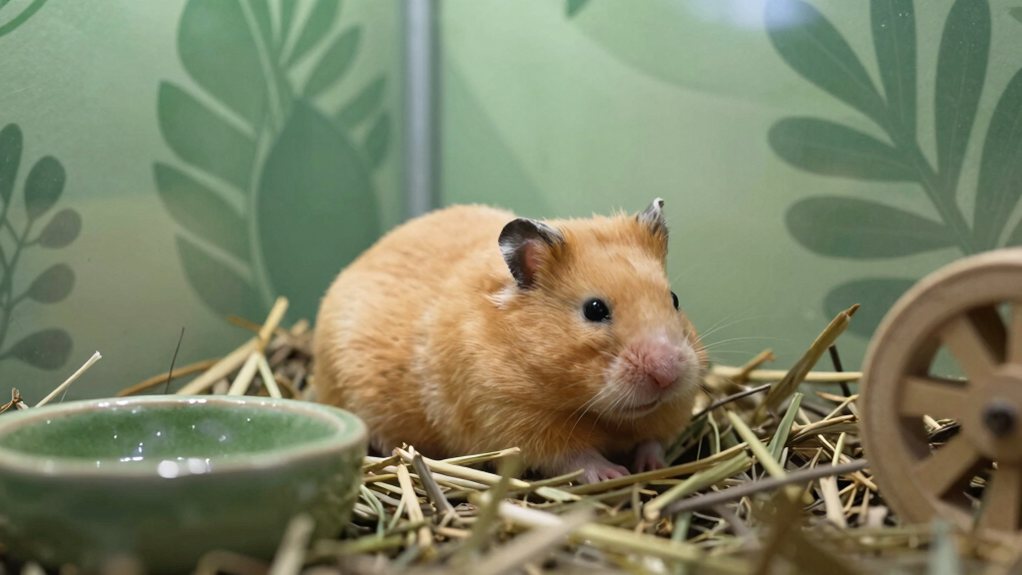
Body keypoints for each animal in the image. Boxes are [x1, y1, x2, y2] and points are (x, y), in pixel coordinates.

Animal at [313, 199, 706, 483]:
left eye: (674, 299)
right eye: (594, 310)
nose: (667, 374)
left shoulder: (671, 408)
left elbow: (652, 441)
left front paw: (653, 467)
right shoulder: (514, 421)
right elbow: (576, 457)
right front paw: (614, 473)